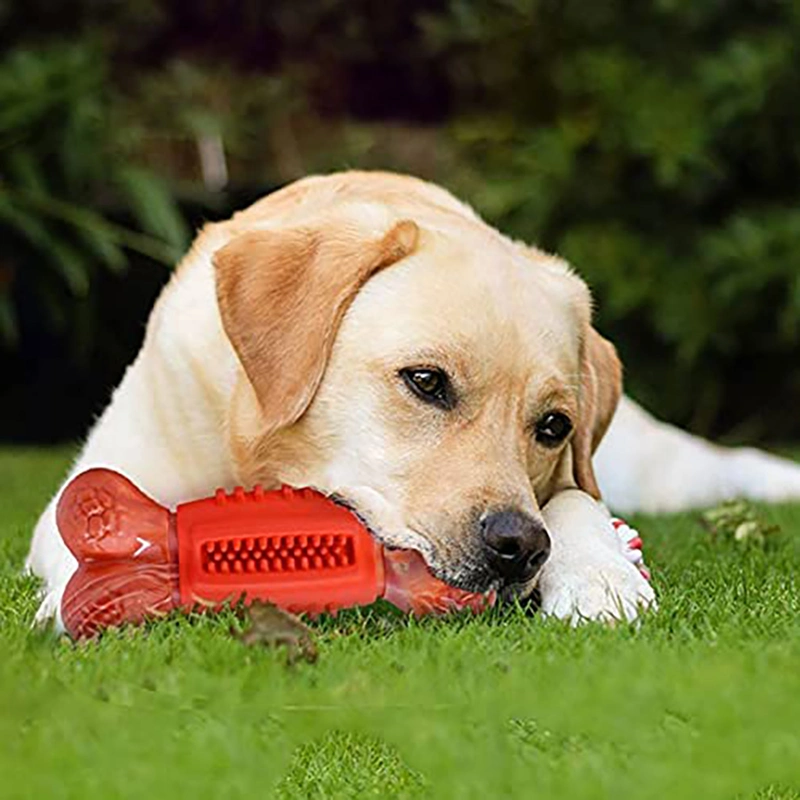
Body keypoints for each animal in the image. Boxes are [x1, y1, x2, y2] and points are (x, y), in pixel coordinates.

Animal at [23, 172, 800, 628]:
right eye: (427, 382)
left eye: (553, 425)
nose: (517, 548)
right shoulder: (105, 474)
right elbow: (80, 531)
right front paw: (95, 591)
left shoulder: (569, 480)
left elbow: (576, 504)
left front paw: (598, 577)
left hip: (654, 465)